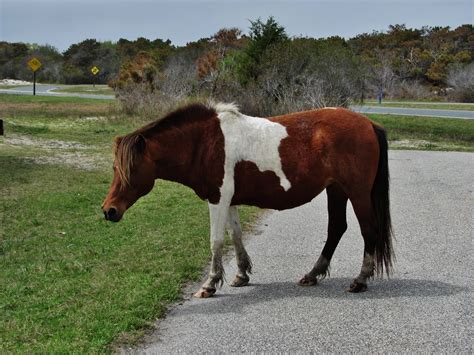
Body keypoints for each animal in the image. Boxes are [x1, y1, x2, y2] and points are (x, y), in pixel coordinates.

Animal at [102, 102, 394, 298]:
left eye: (130, 169)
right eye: (115, 168)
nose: (109, 211)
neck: (204, 143)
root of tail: (369, 124)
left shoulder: (217, 199)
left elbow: (216, 241)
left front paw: (210, 284)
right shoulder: (228, 200)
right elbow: (236, 236)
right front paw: (241, 274)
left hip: (356, 192)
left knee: (368, 230)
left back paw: (360, 280)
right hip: (336, 190)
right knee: (336, 229)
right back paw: (312, 275)